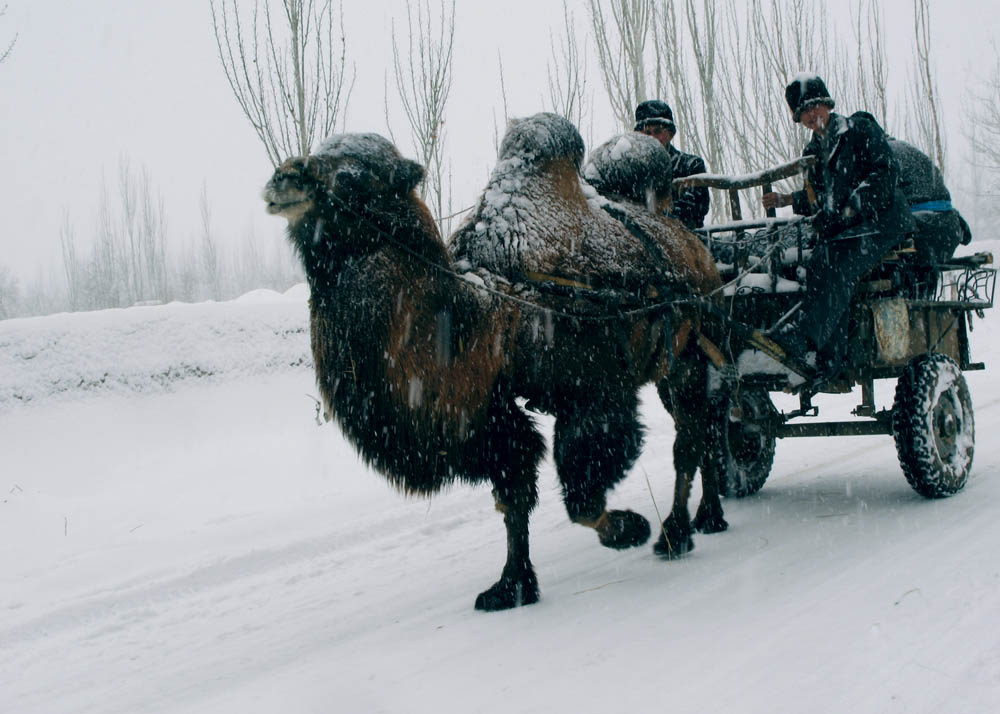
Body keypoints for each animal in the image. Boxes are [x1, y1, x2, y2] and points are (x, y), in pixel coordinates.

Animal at [266, 114, 728, 608]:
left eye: (352, 178)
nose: (282, 179)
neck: (486, 309)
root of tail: (696, 249)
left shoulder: (593, 393)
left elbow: (581, 495)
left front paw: (629, 528)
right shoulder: (488, 413)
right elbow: (514, 490)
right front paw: (511, 586)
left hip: (695, 351)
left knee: (694, 434)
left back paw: (680, 531)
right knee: (699, 428)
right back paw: (703, 518)